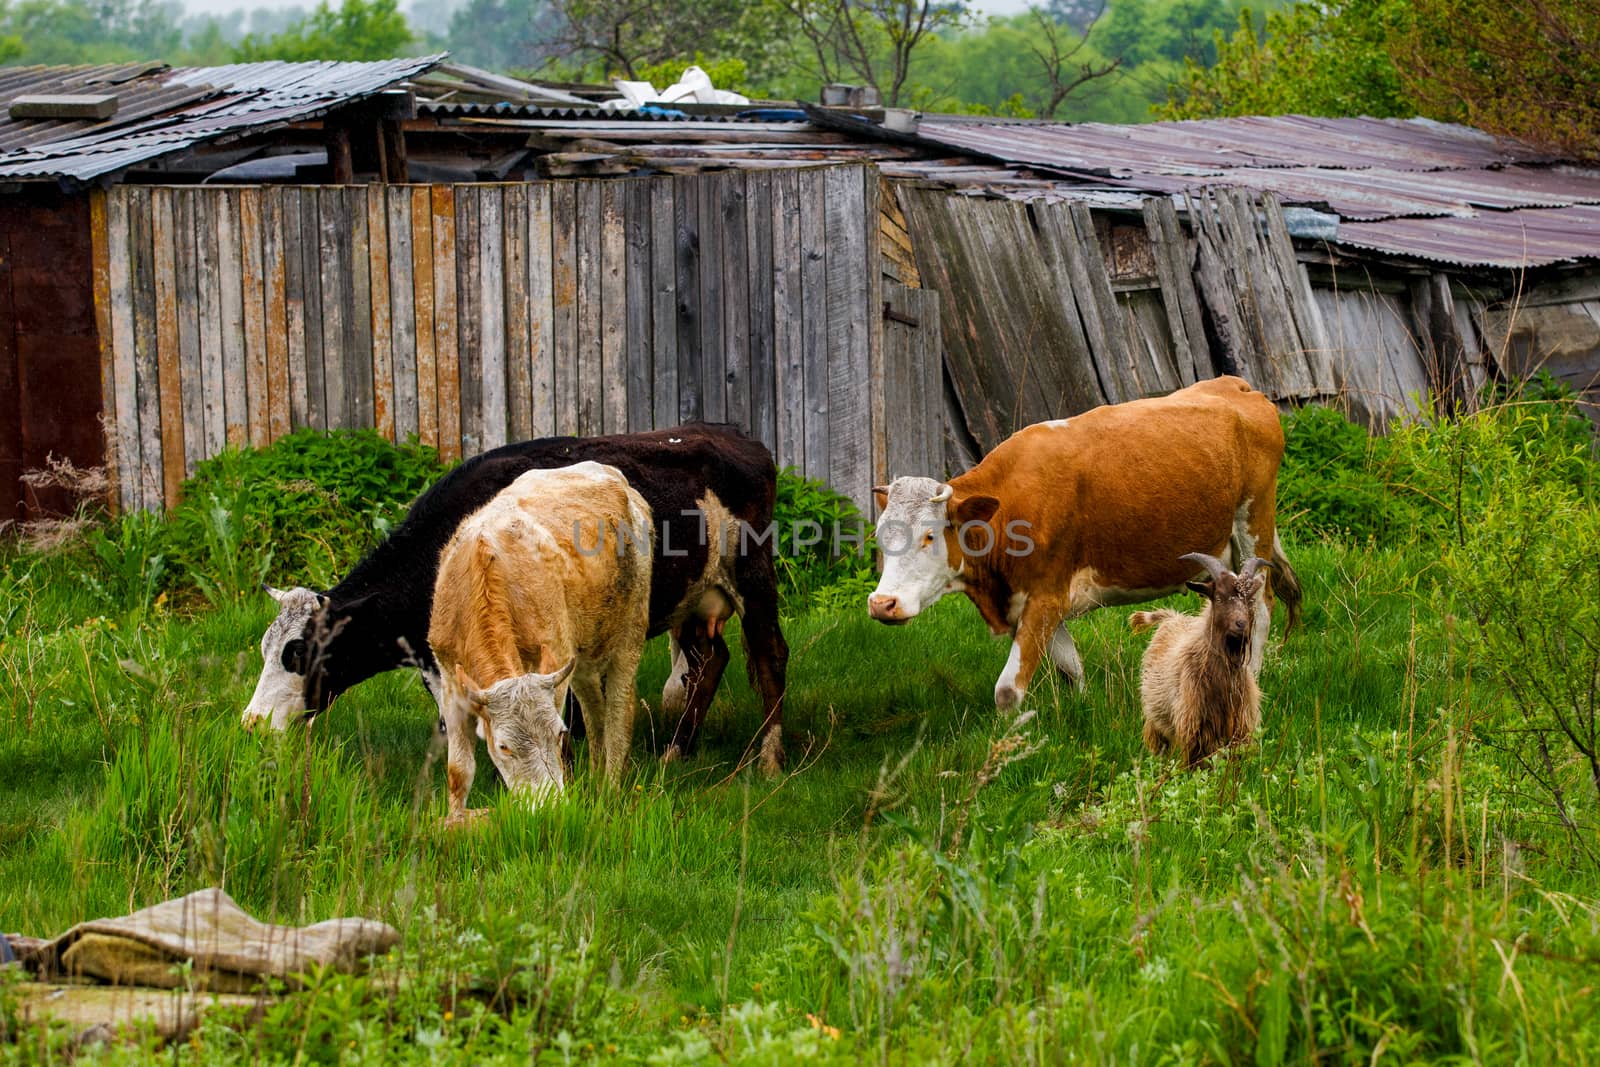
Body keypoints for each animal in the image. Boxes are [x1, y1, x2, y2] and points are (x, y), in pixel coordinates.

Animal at [244, 428, 793, 777]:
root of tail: (737, 438)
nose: (251, 723)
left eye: (297, 653)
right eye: (265, 649)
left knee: (769, 656)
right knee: (709, 662)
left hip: (753, 576)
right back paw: (677, 752)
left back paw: (769, 759)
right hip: (694, 601)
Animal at [428, 460, 652, 819]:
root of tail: (606, 470)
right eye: (504, 746)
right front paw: (456, 820)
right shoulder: (451, 685)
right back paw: (596, 780)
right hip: (583, 654)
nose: (548, 806)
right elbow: (459, 771)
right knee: (595, 711)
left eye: (559, 733)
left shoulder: (554, 658)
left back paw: (609, 790)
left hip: (629, 633)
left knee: (619, 710)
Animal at [864, 375, 1299, 710]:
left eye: (929, 536)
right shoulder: (1035, 601)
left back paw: (1252, 674)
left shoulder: (1046, 597)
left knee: (1261, 606)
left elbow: (1007, 691)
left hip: (1254, 521)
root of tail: (1236, 385)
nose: (882, 604)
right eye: (882, 538)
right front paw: (1079, 712)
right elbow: (1070, 668)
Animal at [1126, 550, 1273, 767]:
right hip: (1155, 722)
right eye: (1219, 598)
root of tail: (1172, 617)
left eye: (1250, 599)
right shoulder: (1194, 730)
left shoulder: (1240, 726)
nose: (1242, 624)